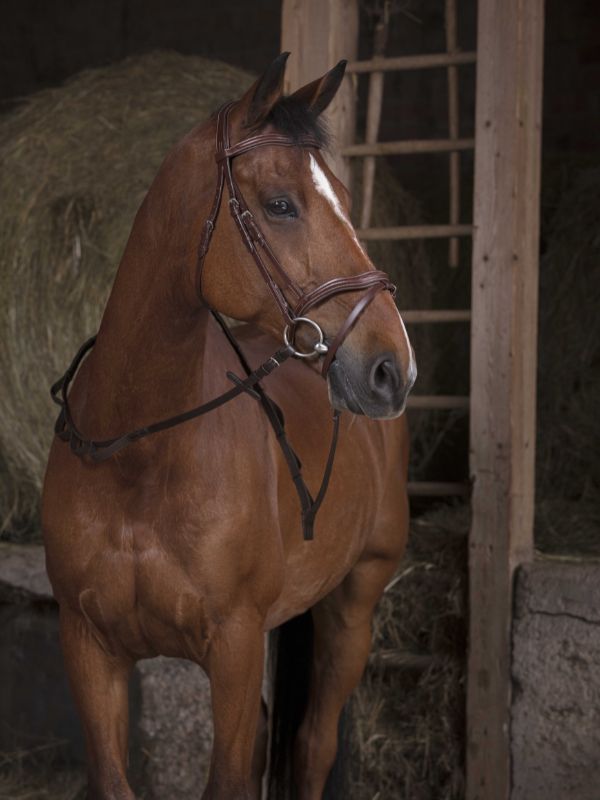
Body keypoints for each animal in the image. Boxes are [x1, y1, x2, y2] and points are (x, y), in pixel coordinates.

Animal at [42, 52, 416, 799]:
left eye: (343, 198)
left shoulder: (236, 650)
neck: (137, 457)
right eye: (280, 204)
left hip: (354, 606)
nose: (394, 368)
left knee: (314, 744)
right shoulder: (88, 649)